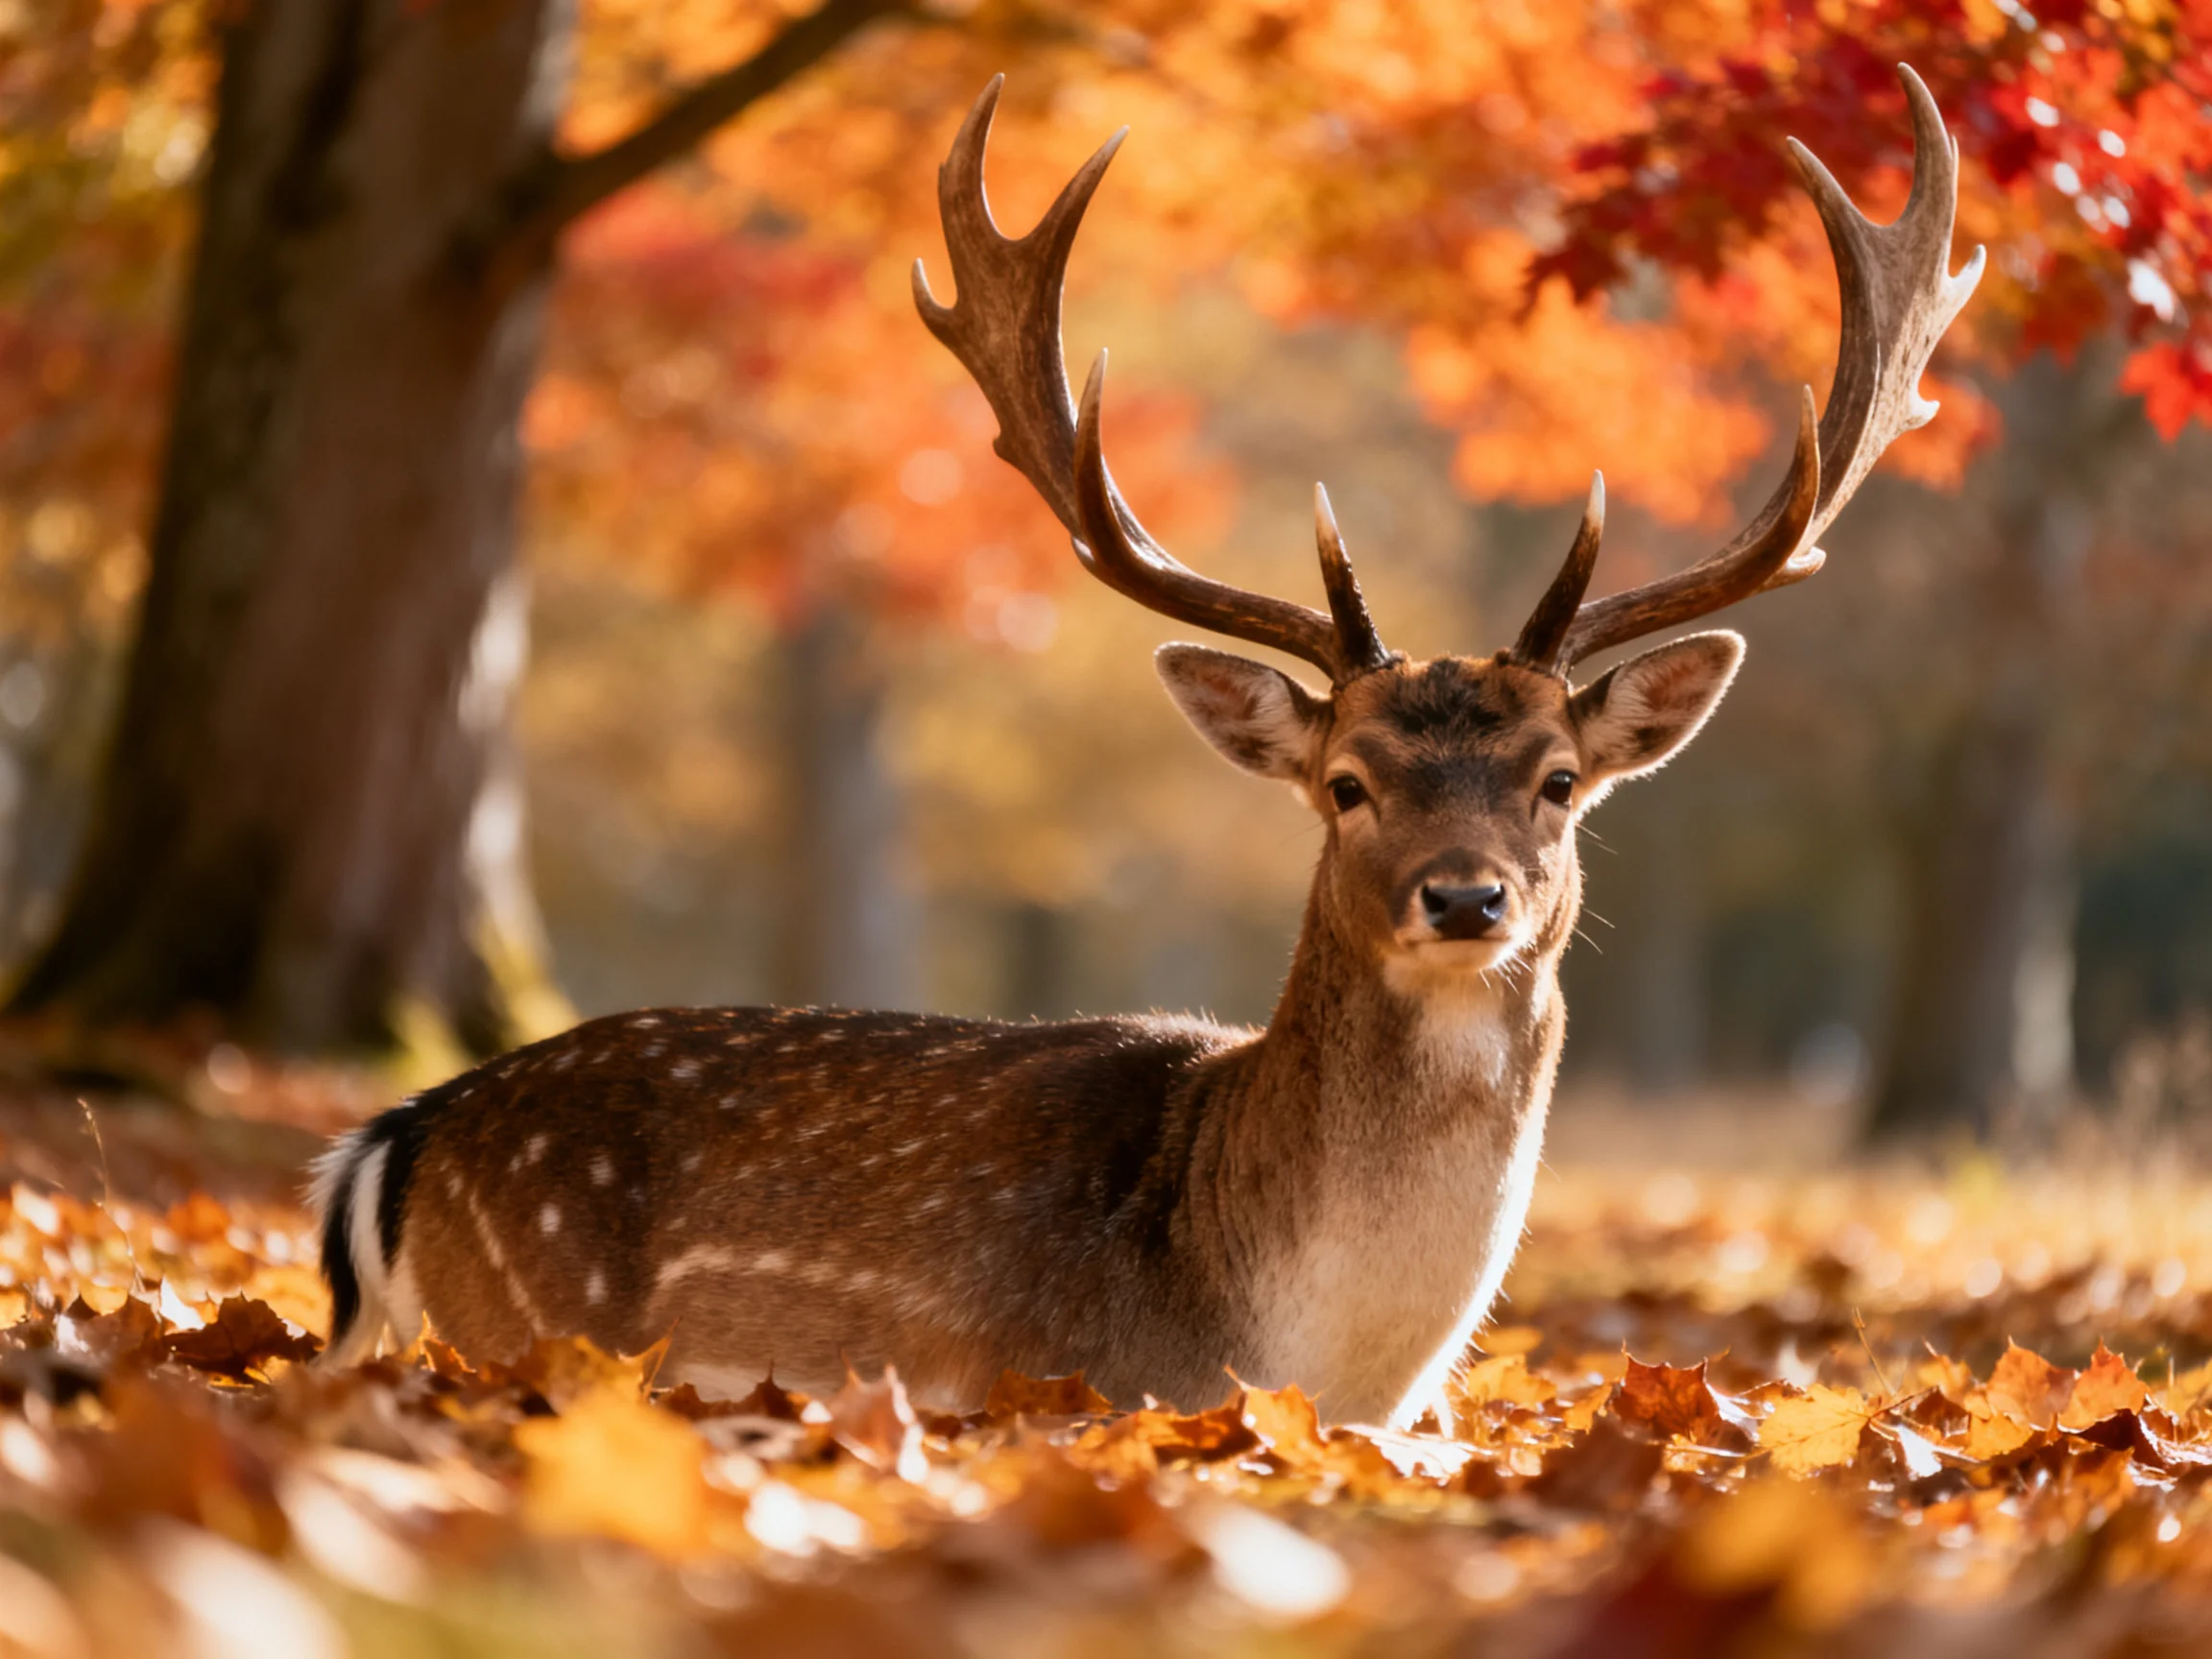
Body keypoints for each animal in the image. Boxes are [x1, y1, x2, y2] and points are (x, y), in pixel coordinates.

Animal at [313, 67, 1981, 1427]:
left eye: (1558, 784)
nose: (1466, 897)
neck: (1312, 1357)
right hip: (532, 1319)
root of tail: (402, 1132)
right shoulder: (1051, 1385)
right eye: (1345, 784)